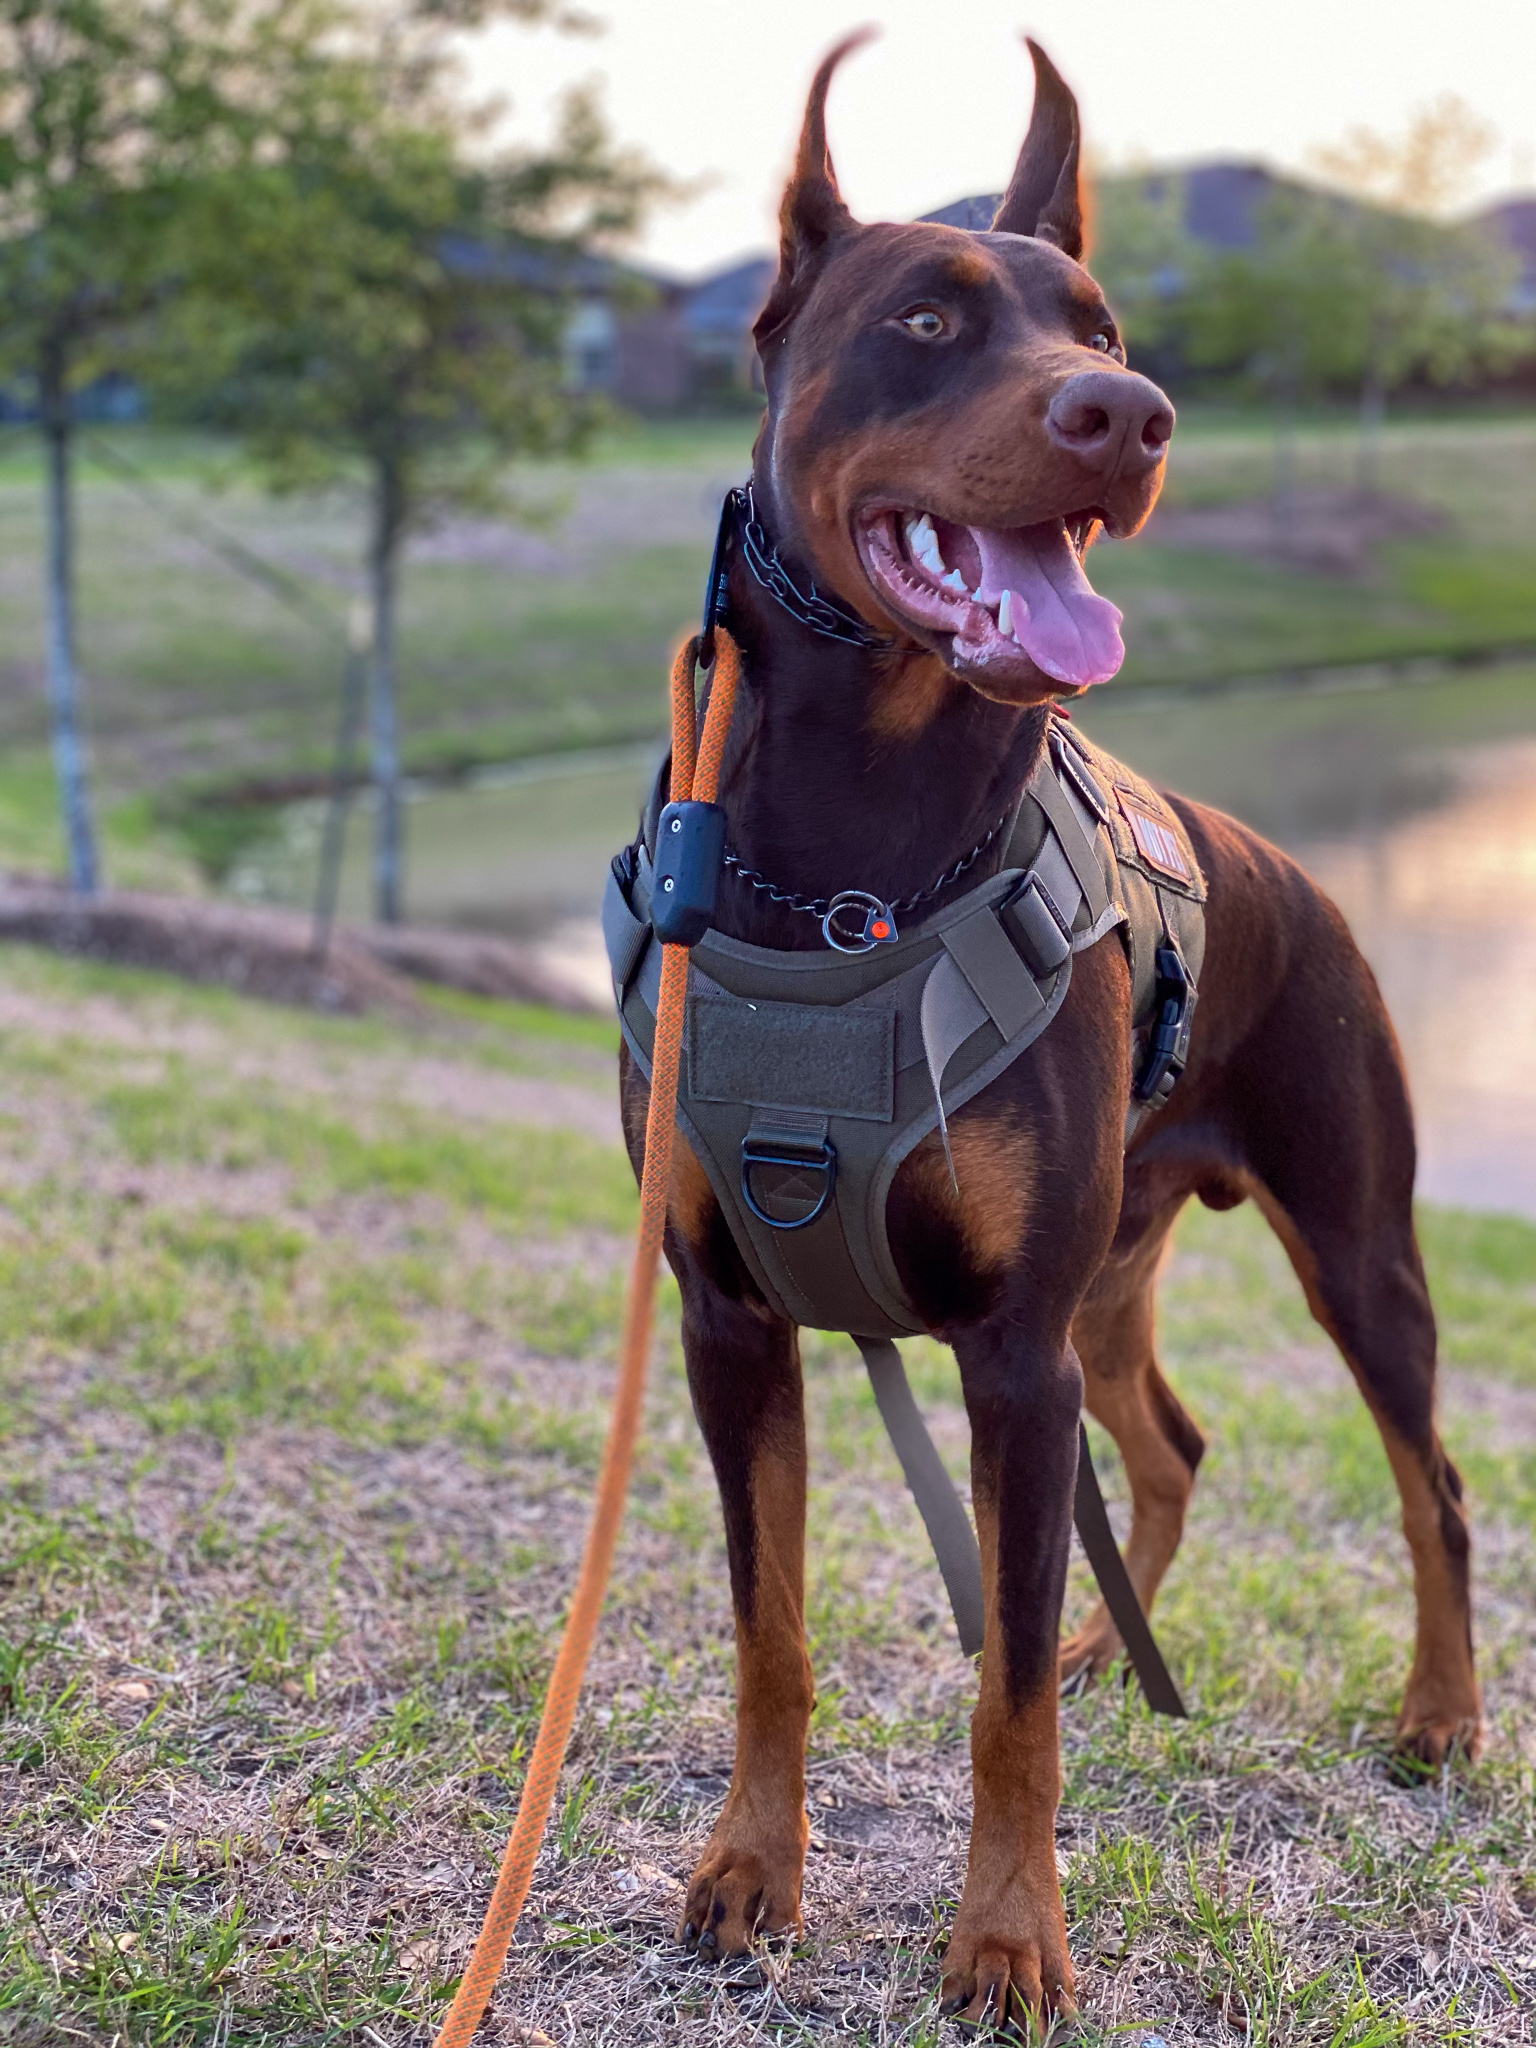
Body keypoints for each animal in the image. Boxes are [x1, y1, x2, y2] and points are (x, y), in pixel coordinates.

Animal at [618, 32, 1482, 2031]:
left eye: (1101, 324)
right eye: (928, 318)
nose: (1135, 414)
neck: (849, 857)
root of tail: (1298, 872)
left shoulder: (1005, 1349)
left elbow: (999, 1694)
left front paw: (1009, 1941)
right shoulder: (728, 1316)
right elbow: (770, 1628)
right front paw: (750, 1872)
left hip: (1351, 1240)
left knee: (1436, 1485)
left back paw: (1438, 1716)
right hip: (1116, 1269)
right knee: (1169, 1447)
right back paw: (1114, 1638)